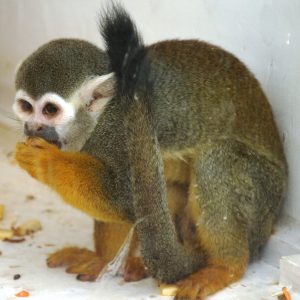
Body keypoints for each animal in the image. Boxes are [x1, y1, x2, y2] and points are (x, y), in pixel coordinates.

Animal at [12, 4, 288, 300]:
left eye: (50, 110)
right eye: (26, 107)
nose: (32, 127)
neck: (100, 118)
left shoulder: (120, 134)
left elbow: (125, 200)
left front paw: (47, 163)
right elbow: (123, 210)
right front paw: (101, 259)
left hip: (263, 197)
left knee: (218, 158)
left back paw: (225, 267)